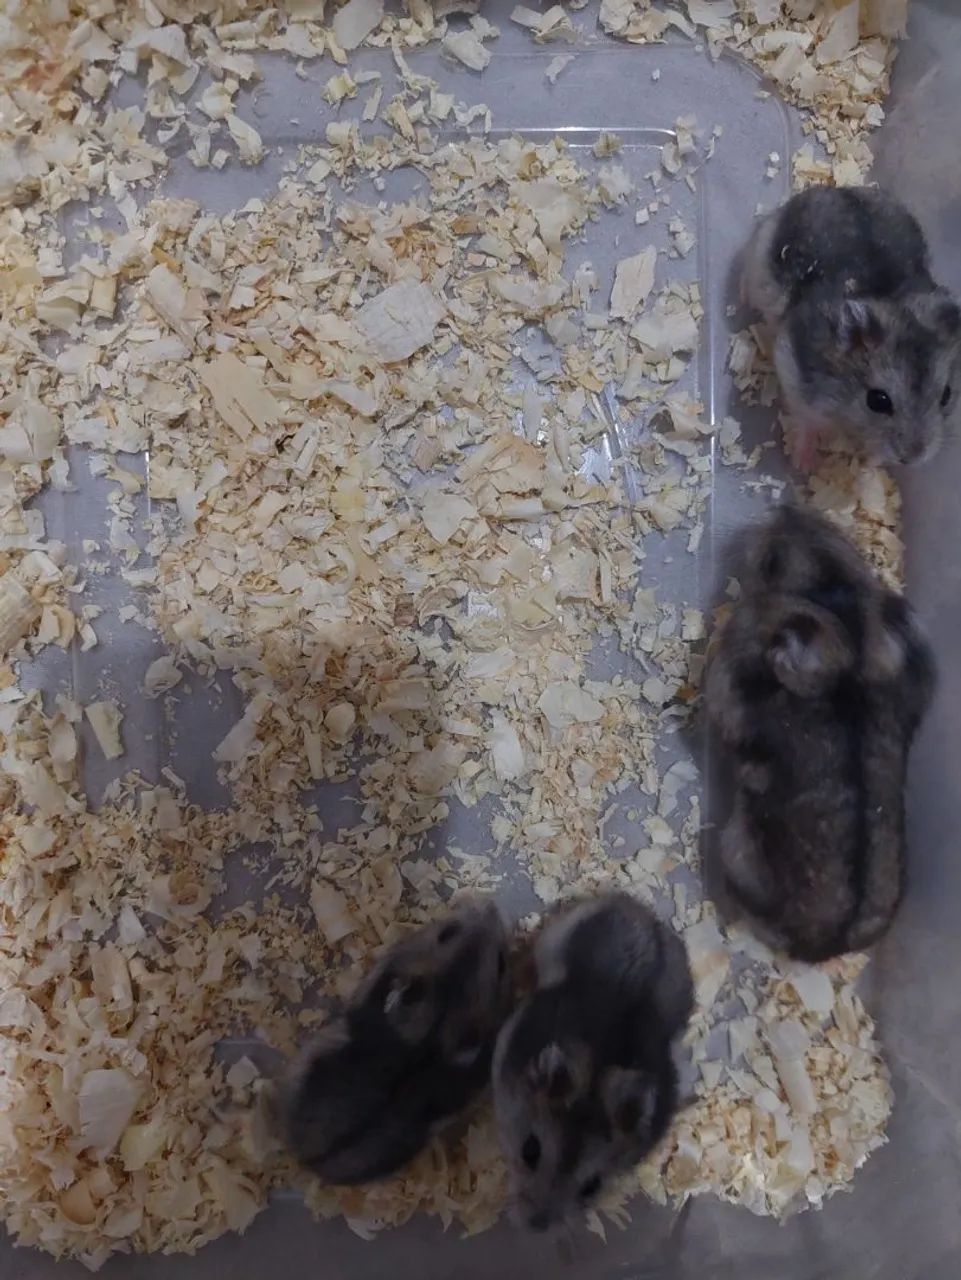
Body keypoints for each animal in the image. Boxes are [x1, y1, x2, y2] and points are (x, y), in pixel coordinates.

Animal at [742, 186, 961, 467]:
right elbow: (806, 420)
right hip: (759, 261)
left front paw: (871, 463)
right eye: (878, 401)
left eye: (946, 395)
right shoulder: (796, 373)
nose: (912, 457)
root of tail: (837, 189)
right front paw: (803, 464)